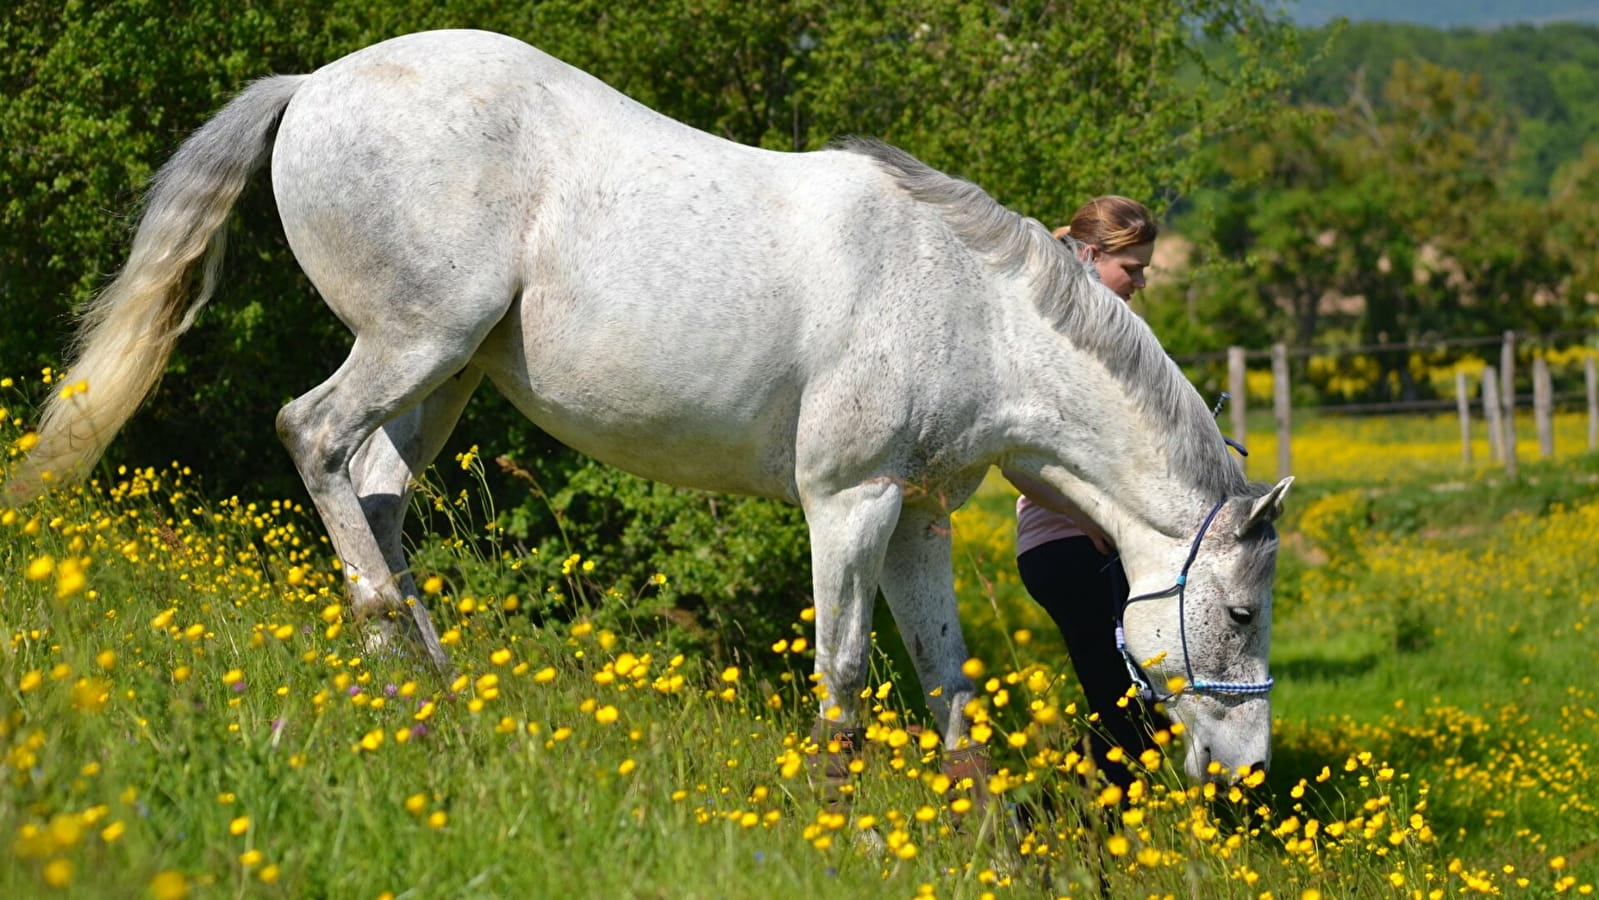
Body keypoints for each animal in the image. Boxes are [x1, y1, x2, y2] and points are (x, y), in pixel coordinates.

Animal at [9, 29, 1285, 783]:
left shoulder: (917, 517)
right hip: (416, 341)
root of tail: (314, 85)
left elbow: (948, 687)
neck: (964, 307)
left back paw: (432, 691)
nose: (1245, 767)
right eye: (1237, 613)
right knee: (315, 439)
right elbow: (845, 680)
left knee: (376, 493)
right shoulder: (849, 504)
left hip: (448, 374)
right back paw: (391, 655)